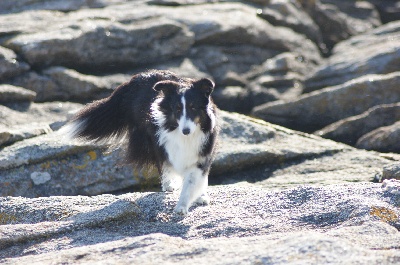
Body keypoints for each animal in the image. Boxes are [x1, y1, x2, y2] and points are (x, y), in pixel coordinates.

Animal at [67, 69, 220, 214]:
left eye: (193, 107)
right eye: (177, 109)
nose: (185, 131)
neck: (187, 137)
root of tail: (137, 77)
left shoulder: (203, 150)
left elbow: (193, 179)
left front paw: (195, 198)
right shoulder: (165, 143)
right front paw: (181, 206)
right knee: (162, 162)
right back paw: (169, 185)